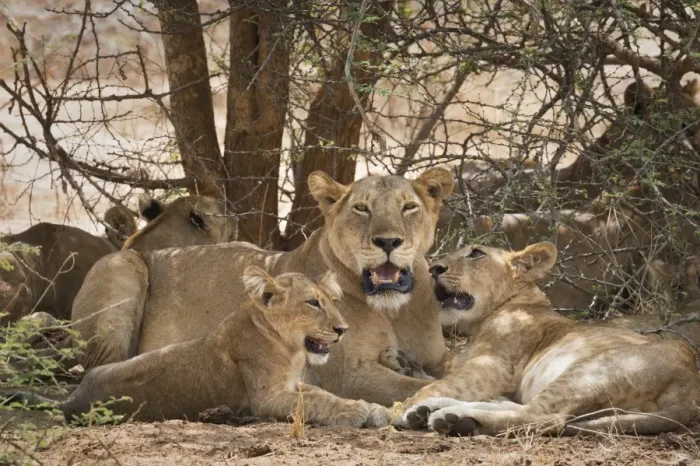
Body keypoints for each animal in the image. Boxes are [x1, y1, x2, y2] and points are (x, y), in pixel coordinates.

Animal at [61, 266, 387, 427]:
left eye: (332, 301)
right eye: (312, 303)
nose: (343, 330)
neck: (290, 349)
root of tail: (71, 398)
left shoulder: (292, 384)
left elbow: (322, 394)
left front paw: (373, 408)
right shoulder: (266, 398)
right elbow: (314, 402)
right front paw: (355, 411)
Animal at [71, 168, 454, 407]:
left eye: (409, 207)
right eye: (361, 208)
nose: (388, 241)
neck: (395, 309)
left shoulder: (439, 356)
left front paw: (407, 364)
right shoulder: (348, 375)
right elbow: (422, 386)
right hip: (122, 267)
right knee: (100, 366)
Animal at [393, 242, 700, 436]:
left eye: (476, 253)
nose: (433, 268)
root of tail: (691, 386)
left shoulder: (494, 365)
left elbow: (440, 383)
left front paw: (398, 408)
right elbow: (440, 375)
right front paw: (407, 366)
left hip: (591, 370)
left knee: (541, 416)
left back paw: (453, 419)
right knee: (522, 407)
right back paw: (437, 411)